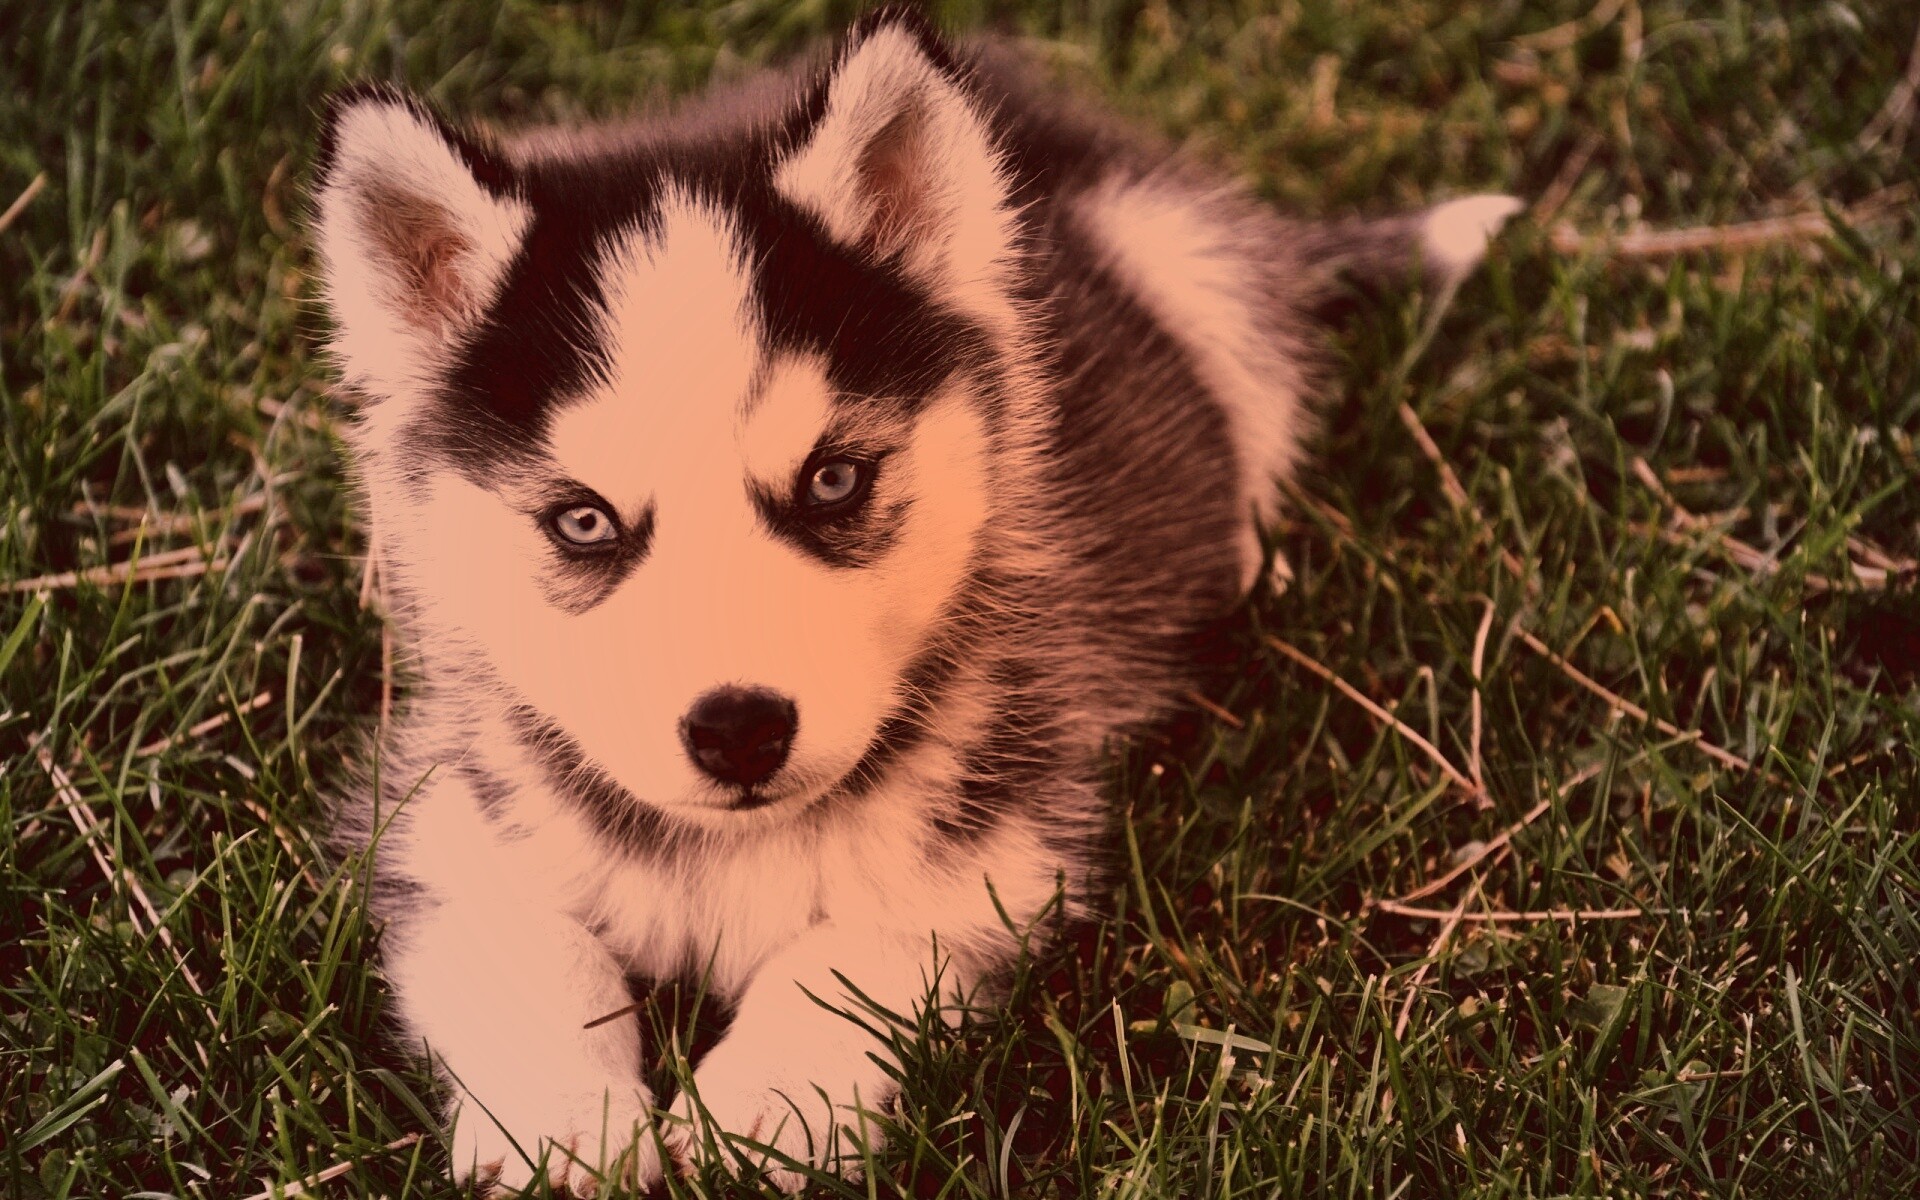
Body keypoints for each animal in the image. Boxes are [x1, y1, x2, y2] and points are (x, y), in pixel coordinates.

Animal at [310, 6, 1517, 1193]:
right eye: (584, 522)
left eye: (834, 480)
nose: (740, 731)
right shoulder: (449, 806)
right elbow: (524, 949)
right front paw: (561, 1124)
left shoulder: (1009, 826)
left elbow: (863, 945)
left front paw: (767, 1103)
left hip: (1198, 282)